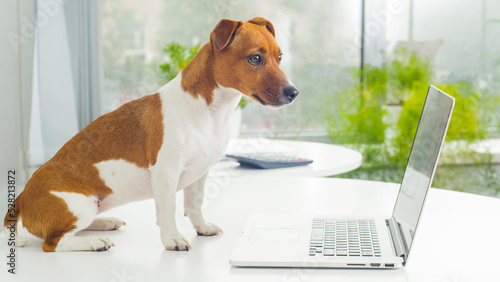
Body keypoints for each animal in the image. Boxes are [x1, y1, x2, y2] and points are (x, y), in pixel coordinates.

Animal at [3, 17, 298, 251]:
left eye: (280, 57)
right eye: (255, 58)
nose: (294, 92)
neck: (210, 111)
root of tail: (22, 198)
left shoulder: (200, 173)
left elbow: (194, 204)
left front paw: (201, 227)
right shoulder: (166, 172)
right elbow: (167, 209)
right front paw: (172, 239)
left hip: (92, 206)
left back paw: (104, 223)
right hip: (79, 205)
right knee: (53, 243)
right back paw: (93, 242)